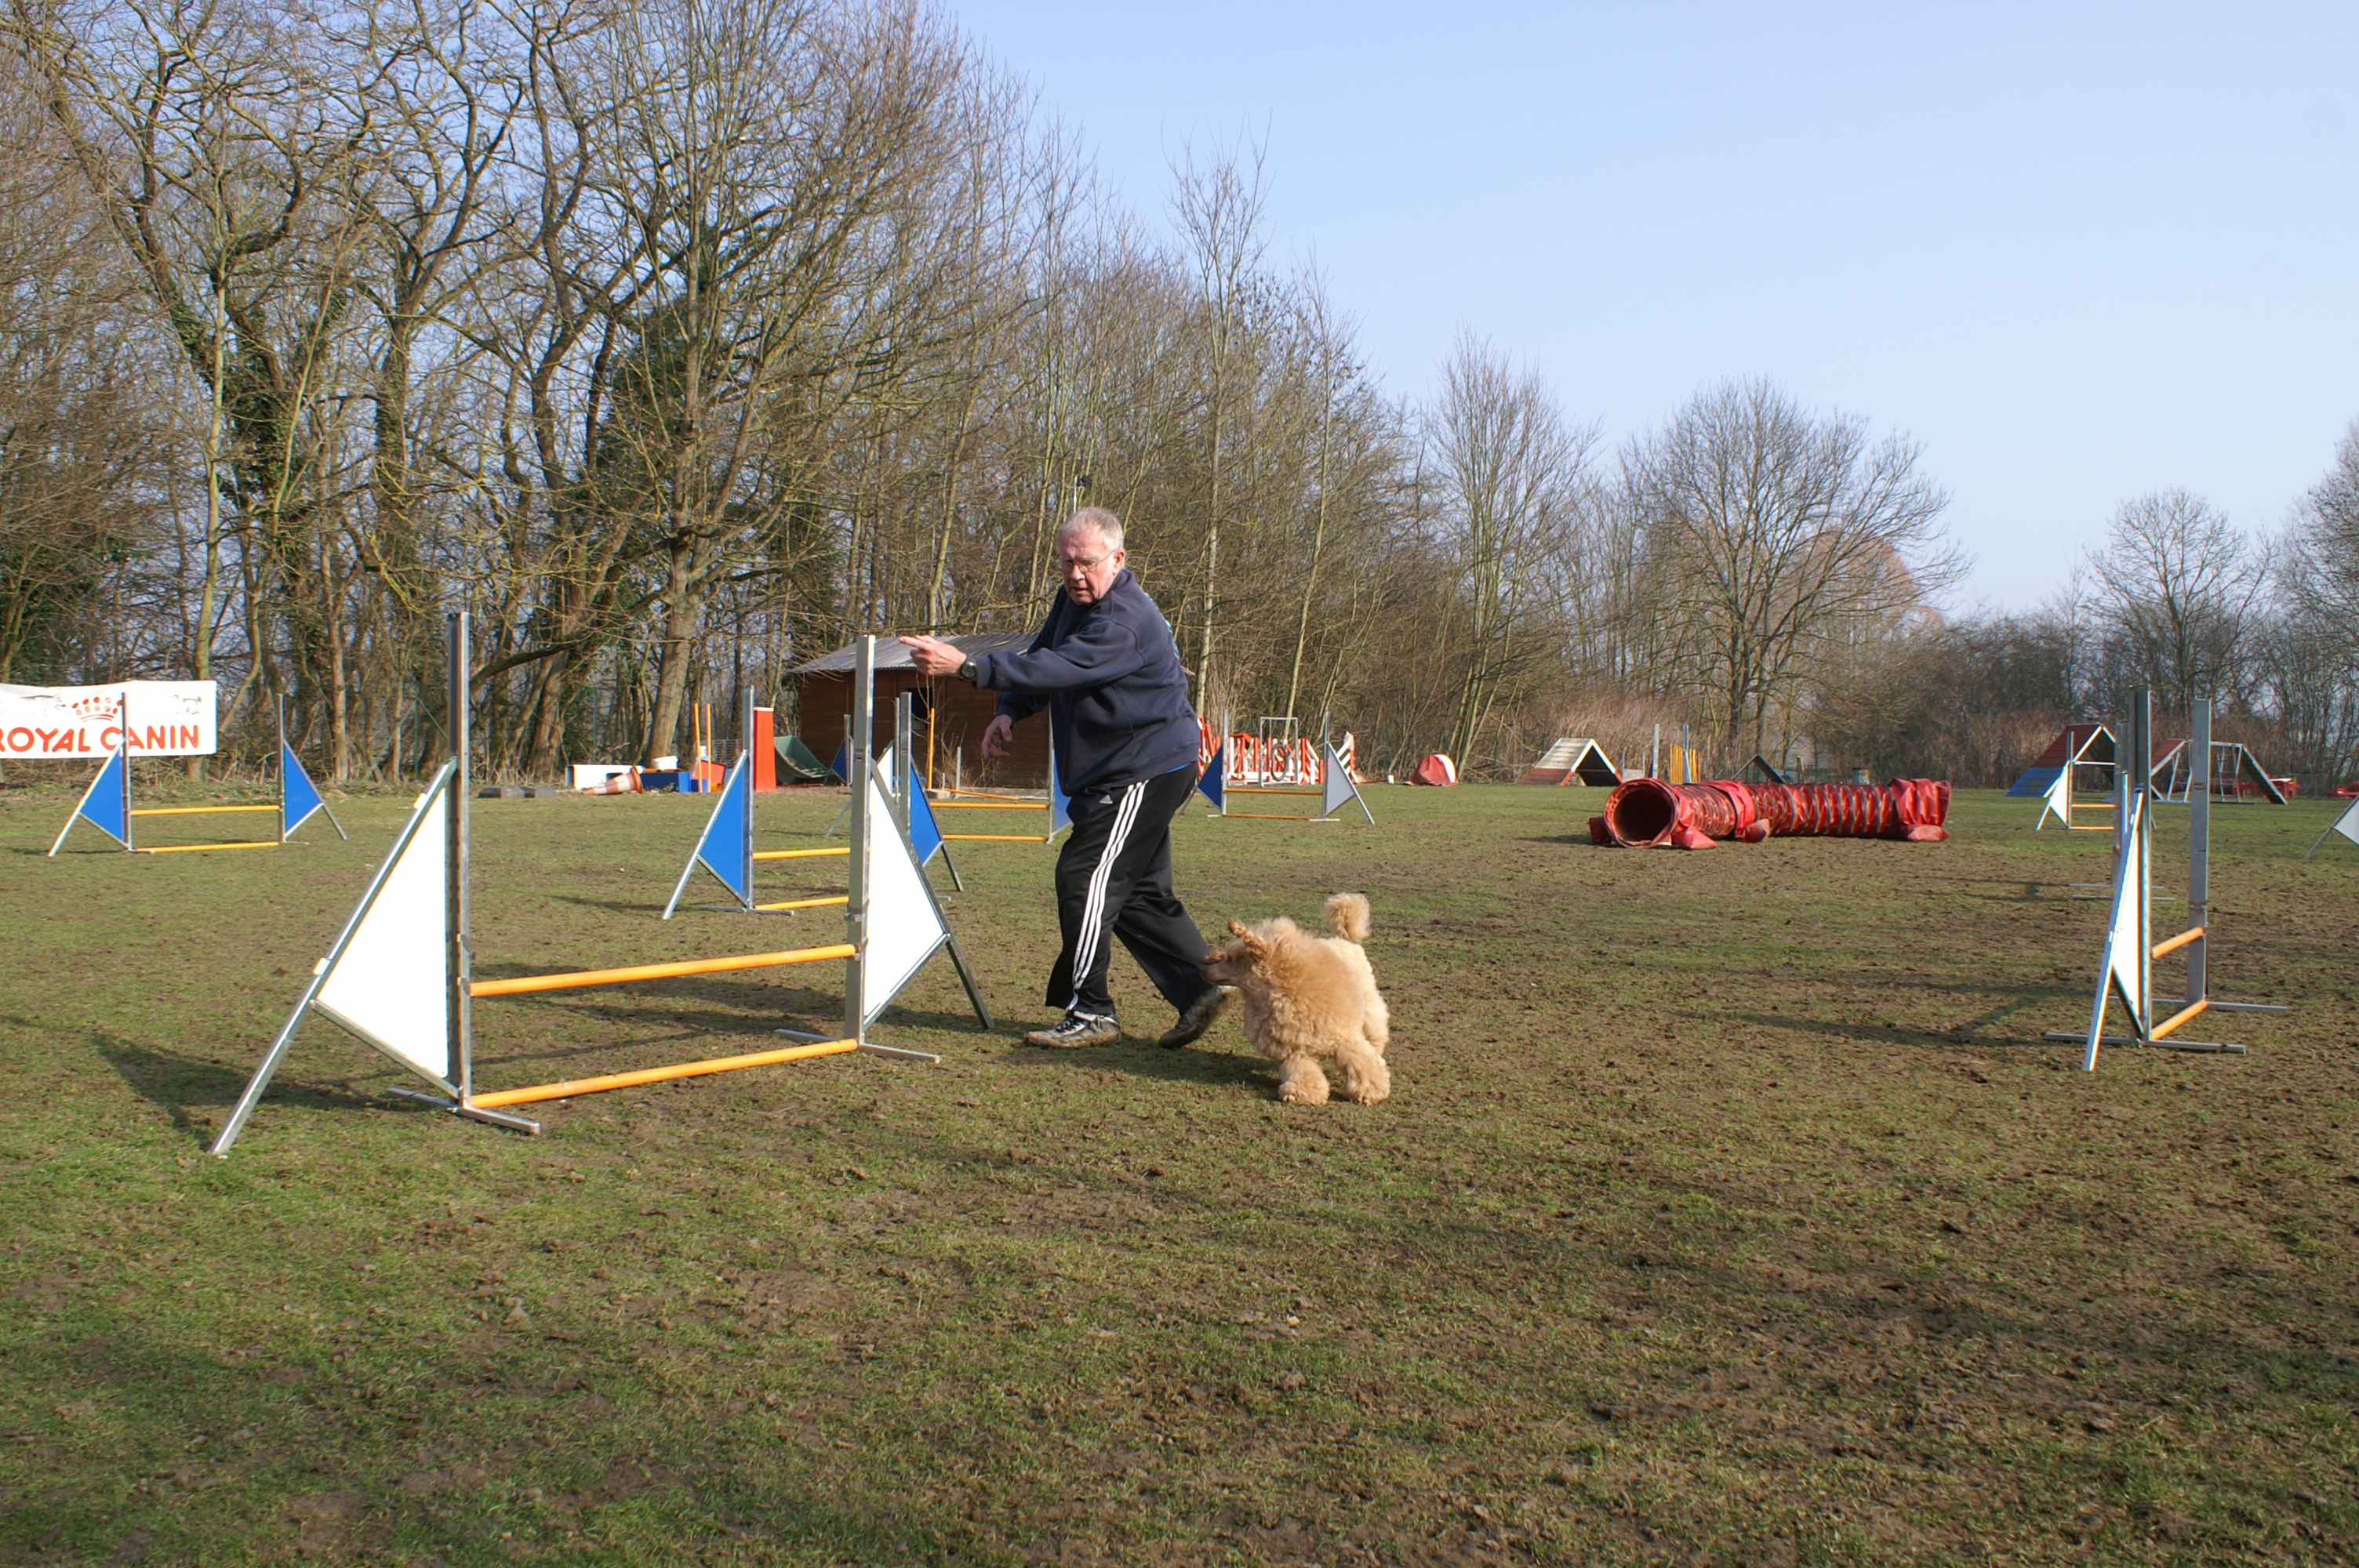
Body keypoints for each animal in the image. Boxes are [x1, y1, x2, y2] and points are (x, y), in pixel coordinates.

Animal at [1201, 893, 1391, 1106]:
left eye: (1231, 959)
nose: (1204, 970)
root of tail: (1345, 940)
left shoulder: (1345, 1039)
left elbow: (1363, 1066)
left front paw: (1371, 1093)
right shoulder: (1295, 1050)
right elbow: (1301, 1071)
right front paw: (1301, 1093)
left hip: (1369, 1002)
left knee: (1375, 1034)